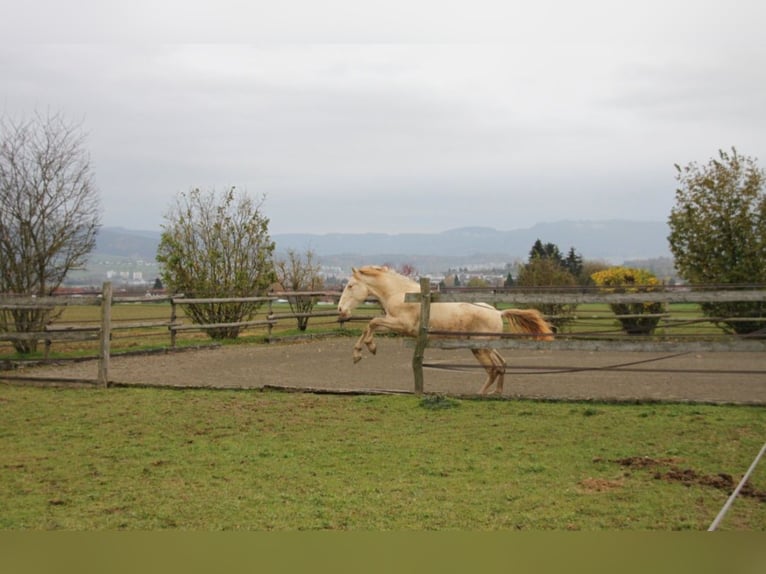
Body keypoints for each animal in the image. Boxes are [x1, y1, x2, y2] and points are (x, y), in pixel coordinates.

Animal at [336, 266, 552, 396]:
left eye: (350, 285)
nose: (340, 310)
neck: (402, 294)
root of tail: (498, 312)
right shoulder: (394, 323)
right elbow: (370, 326)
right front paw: (361, 351)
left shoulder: (401, 324)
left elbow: (372, 323)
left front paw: (366, 349)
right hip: (487, 346)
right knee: (502, 364)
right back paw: (496, 393)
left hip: (480, 348)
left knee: (494, 369)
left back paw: (480, 394)